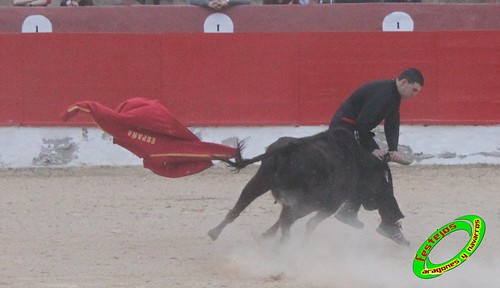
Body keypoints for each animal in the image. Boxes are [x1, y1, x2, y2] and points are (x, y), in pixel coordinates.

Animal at [207, 127, 382, 242]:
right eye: (380, 179)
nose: (373, 205)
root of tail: (287, 150)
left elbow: (282, 218)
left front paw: (267, 235)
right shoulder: (329, 205)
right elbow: (308, 223)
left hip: (260, 180)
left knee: (238, 207)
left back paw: (214, 233)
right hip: (305, 200)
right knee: (287, 221)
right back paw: (284, 247)